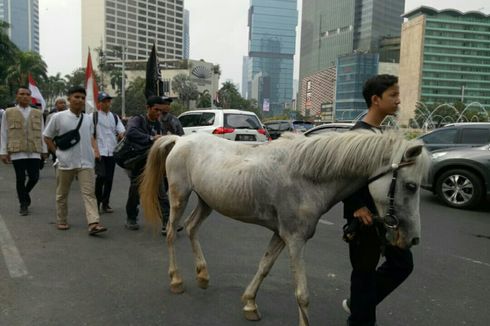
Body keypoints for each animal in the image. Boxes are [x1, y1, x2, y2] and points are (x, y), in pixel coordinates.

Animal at [140, 131, 430, 324]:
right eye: (410, 186)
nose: (413, 239)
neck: (308, 177)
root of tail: (180, 139)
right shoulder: (295, 239)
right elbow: (302, 294)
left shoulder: (281, 234)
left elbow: (264, 266)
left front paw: (250, 304)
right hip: (179, 196)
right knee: (171, 233)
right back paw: (176, 280)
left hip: (206, 201)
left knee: (190, 228)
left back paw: (202, 275)